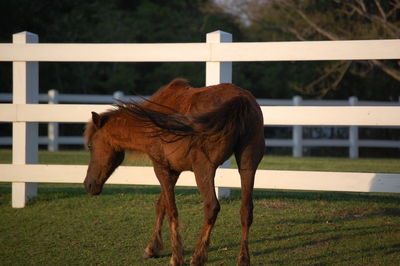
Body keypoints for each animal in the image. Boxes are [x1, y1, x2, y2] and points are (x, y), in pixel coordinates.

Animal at [83, 78, 266, 264]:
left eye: (90, 146)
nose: (88, 185)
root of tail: (240, 99)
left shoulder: (161, 168)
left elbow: (171, 210)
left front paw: (176, 257)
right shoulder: (173, 171)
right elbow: (161, 205)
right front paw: (152, 248)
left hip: (204, 170)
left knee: (212, 207)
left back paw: (198, 257)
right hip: (248, 166)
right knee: (246, 210)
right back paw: (243, 258)